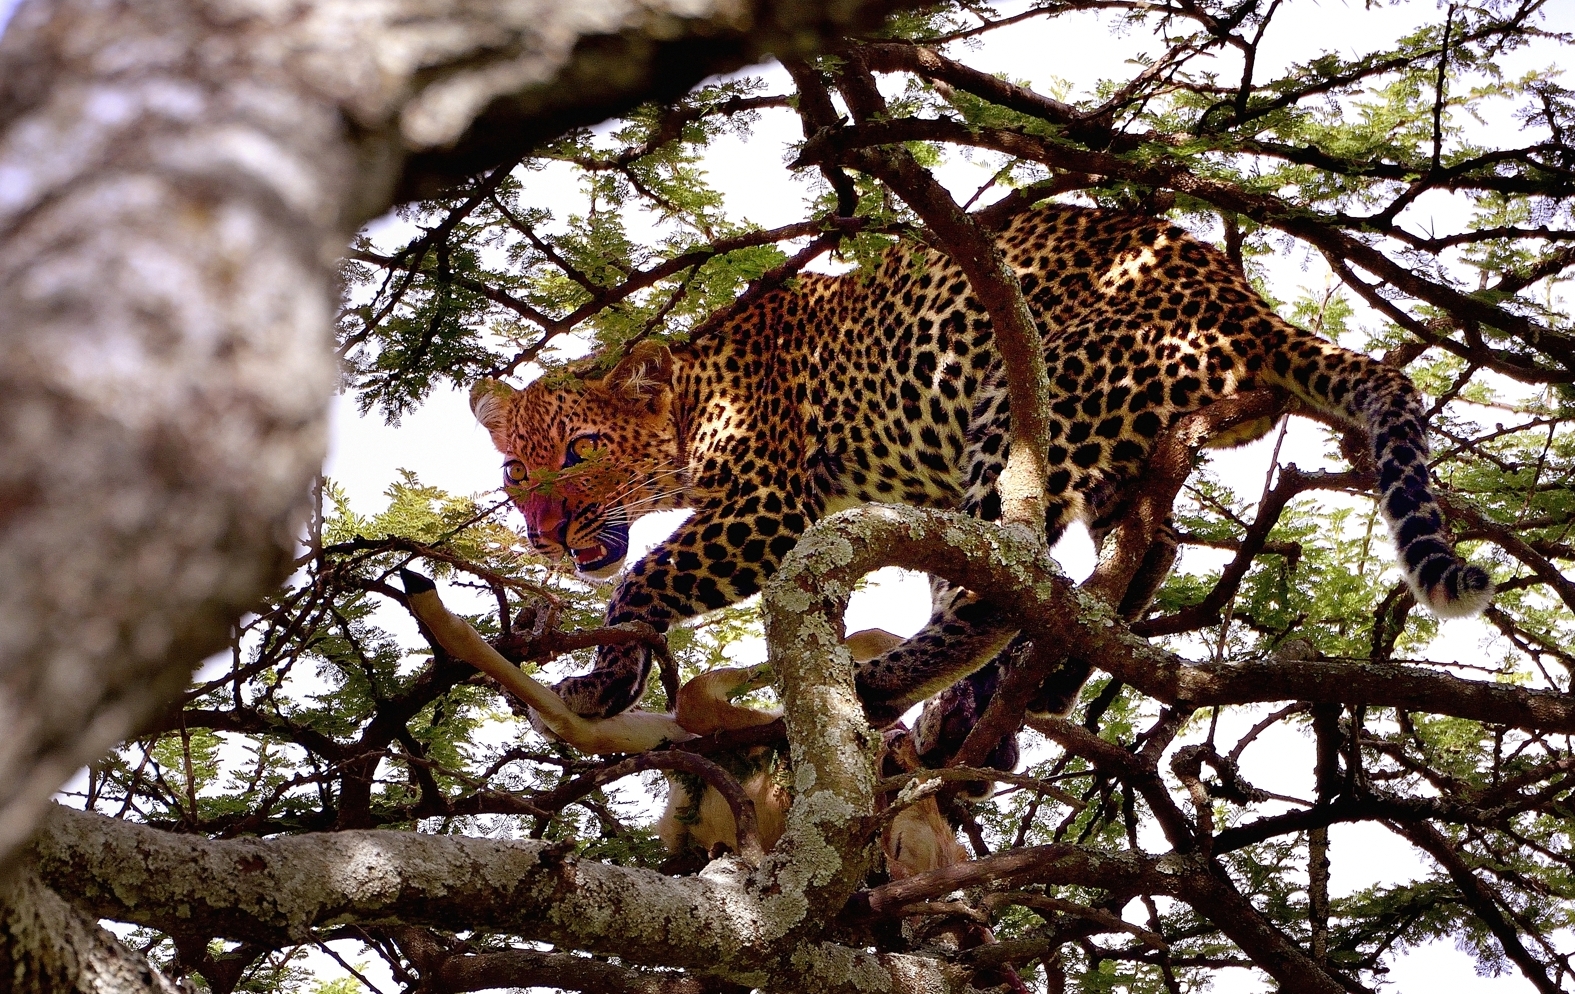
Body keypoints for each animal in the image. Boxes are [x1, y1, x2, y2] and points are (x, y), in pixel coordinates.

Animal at [471, 204, 1494, 759]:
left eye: (579, 452)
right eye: (516, 470)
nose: (542, 534)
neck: (692, 394)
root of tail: (1241, 300)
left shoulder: (765, 502)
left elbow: (645, 579)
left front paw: (605, 674)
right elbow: (941, 573)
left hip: (1027, 408)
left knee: (1015, 580)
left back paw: (904, 688)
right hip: (1112, 446)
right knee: (1128, 558)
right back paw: (1025, 693)